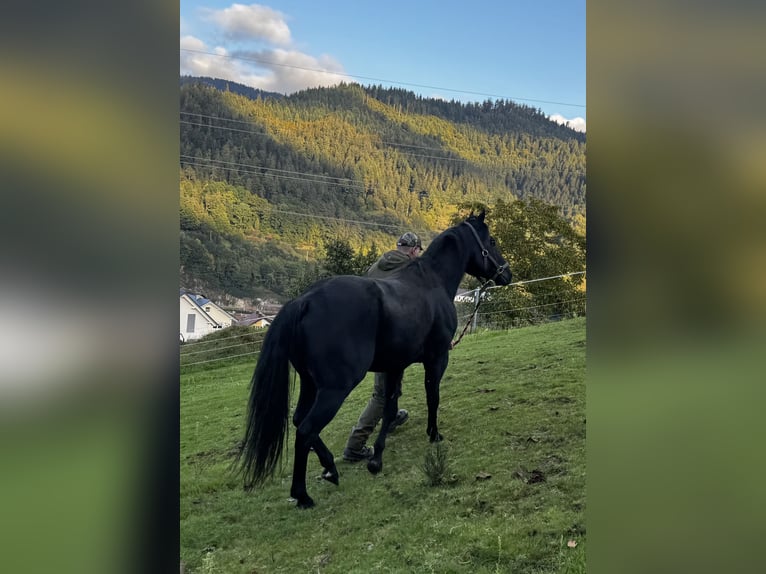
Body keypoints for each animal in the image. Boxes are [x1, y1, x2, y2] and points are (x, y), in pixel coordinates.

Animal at [237, 211, 512, 508]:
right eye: (492, 240)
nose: (506, 273)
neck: (432, 282)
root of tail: (305, 301)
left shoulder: (394, 367)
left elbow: (389, 409)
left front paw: (376, 459)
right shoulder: (438, 358)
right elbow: (432, 396)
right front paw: (433, 434)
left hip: (311, 384)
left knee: (300, 420)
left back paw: (330, 467)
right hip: (335, 388)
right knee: (306, 429)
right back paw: (303, 495)